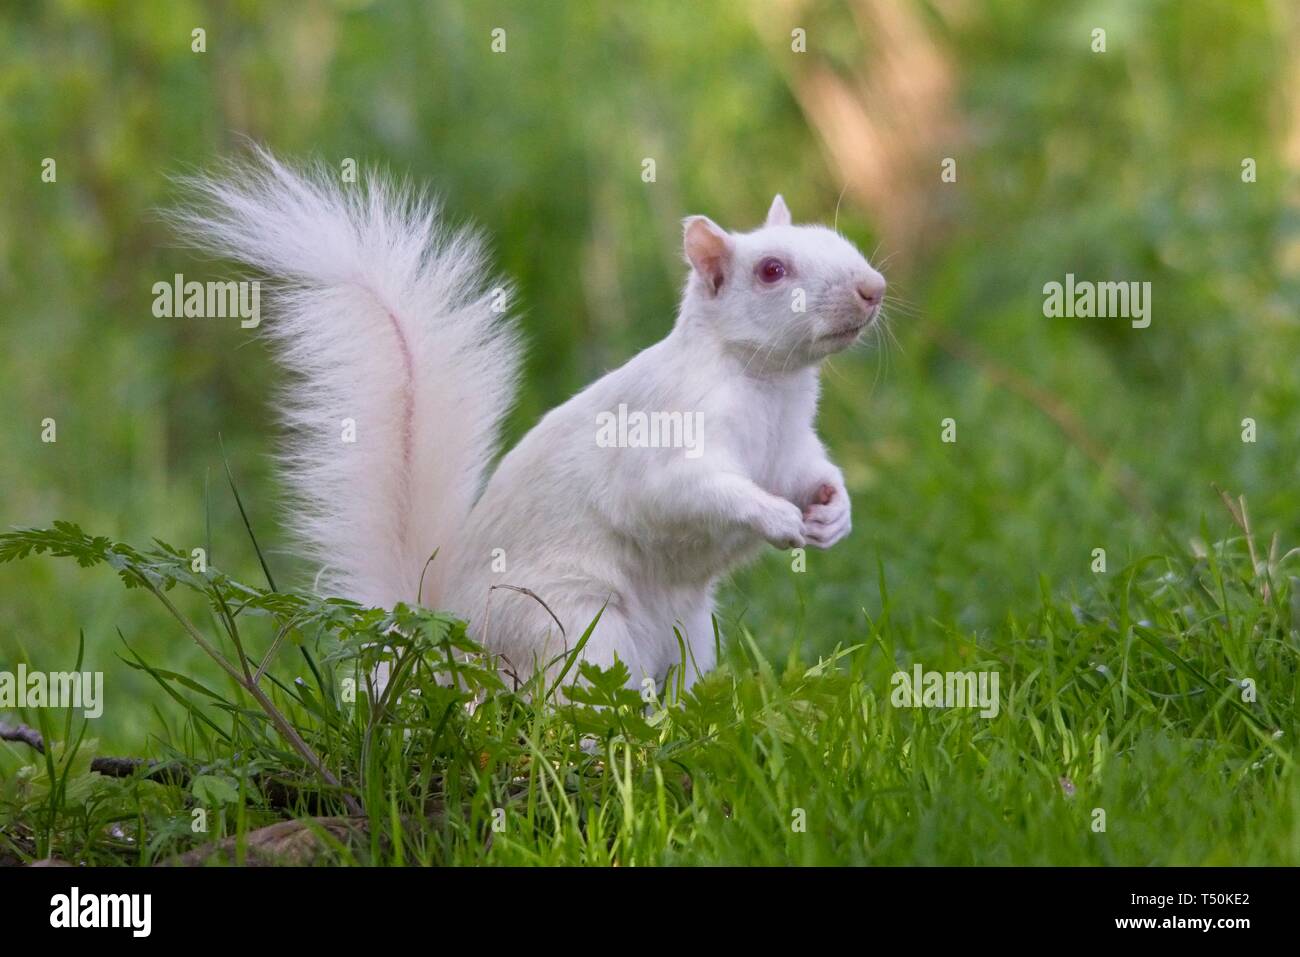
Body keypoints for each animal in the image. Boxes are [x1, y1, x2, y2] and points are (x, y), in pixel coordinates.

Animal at [176, 149, 885, 692]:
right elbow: (687, 490)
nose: (873, 288)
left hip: (691, 635)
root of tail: (449, 651)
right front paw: (777, 518)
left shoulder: (792, 445)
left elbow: (810, 472)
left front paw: (835, 513)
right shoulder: (669, 435)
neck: (770, 385)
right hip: (576, 628)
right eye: (771, 271)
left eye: (837, 240)